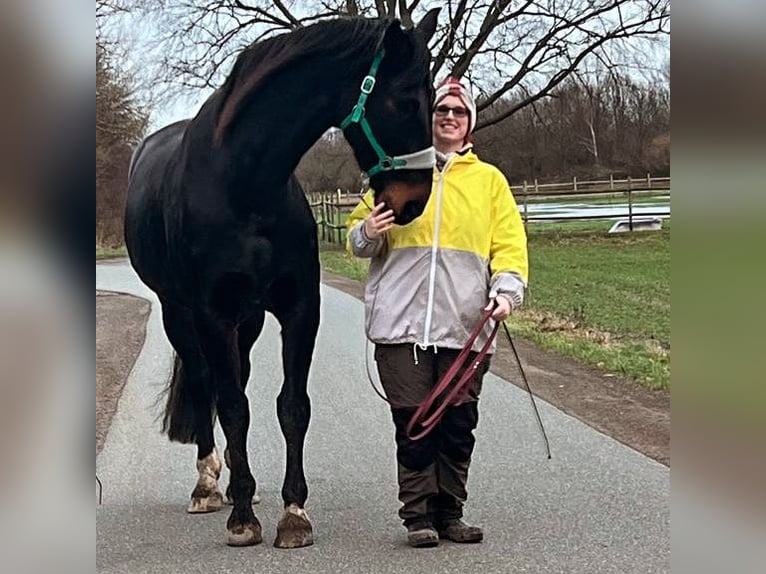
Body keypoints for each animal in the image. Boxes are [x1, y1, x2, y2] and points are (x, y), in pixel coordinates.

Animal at [124, 12, 438, 548]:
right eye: (404, 100)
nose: (414, 199)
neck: (245, 184)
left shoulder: (298, 308)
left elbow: (291, 406)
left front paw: (293, 513)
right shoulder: (211, 315)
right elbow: (232, 405)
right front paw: (242, 519)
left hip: (247, 320)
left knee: (240, 378)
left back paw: (235, 479)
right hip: (178, 315)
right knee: (207, 384)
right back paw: (209, 485)